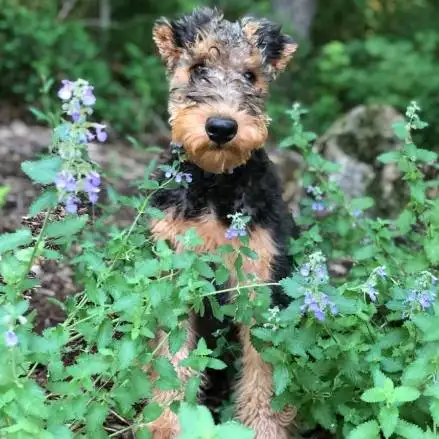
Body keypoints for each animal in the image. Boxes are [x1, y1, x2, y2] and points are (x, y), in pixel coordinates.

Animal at [149, 7, 300, 439]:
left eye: (250, 75)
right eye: (198, 67)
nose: (221, 127)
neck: (216, 183)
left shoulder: (259, 282)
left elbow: (263, 371)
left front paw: (263, 429)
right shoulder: (176, 277)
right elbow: (174, 360)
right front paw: (168, 424)